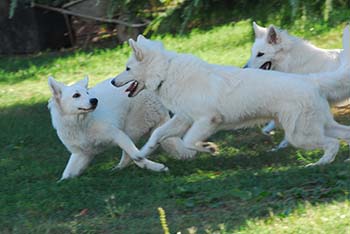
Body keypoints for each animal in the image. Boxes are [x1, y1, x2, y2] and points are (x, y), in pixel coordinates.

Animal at [47, 76, 196, 179]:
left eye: (87, 93)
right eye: (76, 95)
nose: (94, 100)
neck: (81, 124)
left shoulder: (117, 135)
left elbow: (136, 156)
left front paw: (156, 167)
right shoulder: (81, 154)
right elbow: (66, 175)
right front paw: (60, 184)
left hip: (131, 129)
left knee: (131, 155)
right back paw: (116, 170)